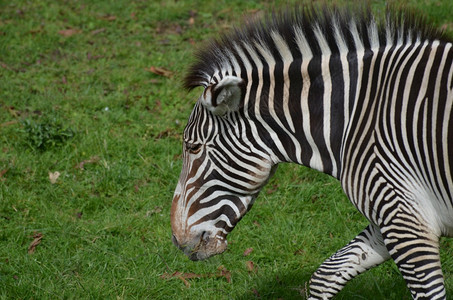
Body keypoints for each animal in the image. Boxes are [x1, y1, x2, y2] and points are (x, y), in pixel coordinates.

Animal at [170, 4, 452, 300]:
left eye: (193, 147)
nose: (176, 239)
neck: (351, 118)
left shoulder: (404, 217)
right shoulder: (393, 211)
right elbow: (327, 274)